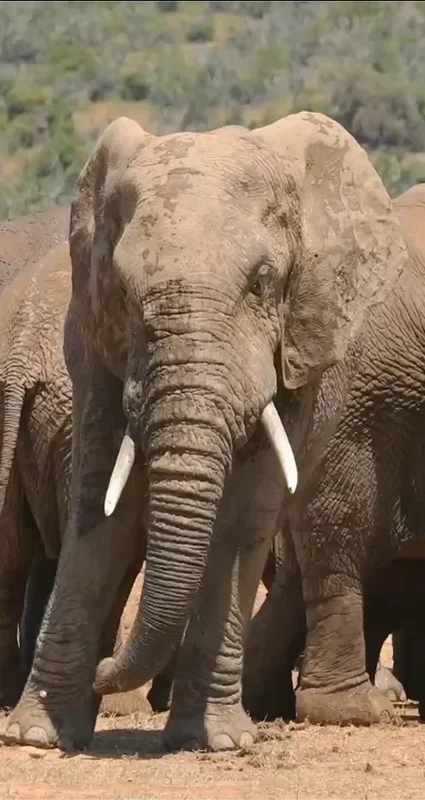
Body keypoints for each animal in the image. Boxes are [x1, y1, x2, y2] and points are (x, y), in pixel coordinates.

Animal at [5, 110, 406, 752]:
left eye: (263, 283)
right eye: (123, 293)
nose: (105, 672)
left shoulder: (294, 344)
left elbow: (245, 511)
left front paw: (216, 742)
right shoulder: (95, 344)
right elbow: (100, 502)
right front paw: (36, 735)